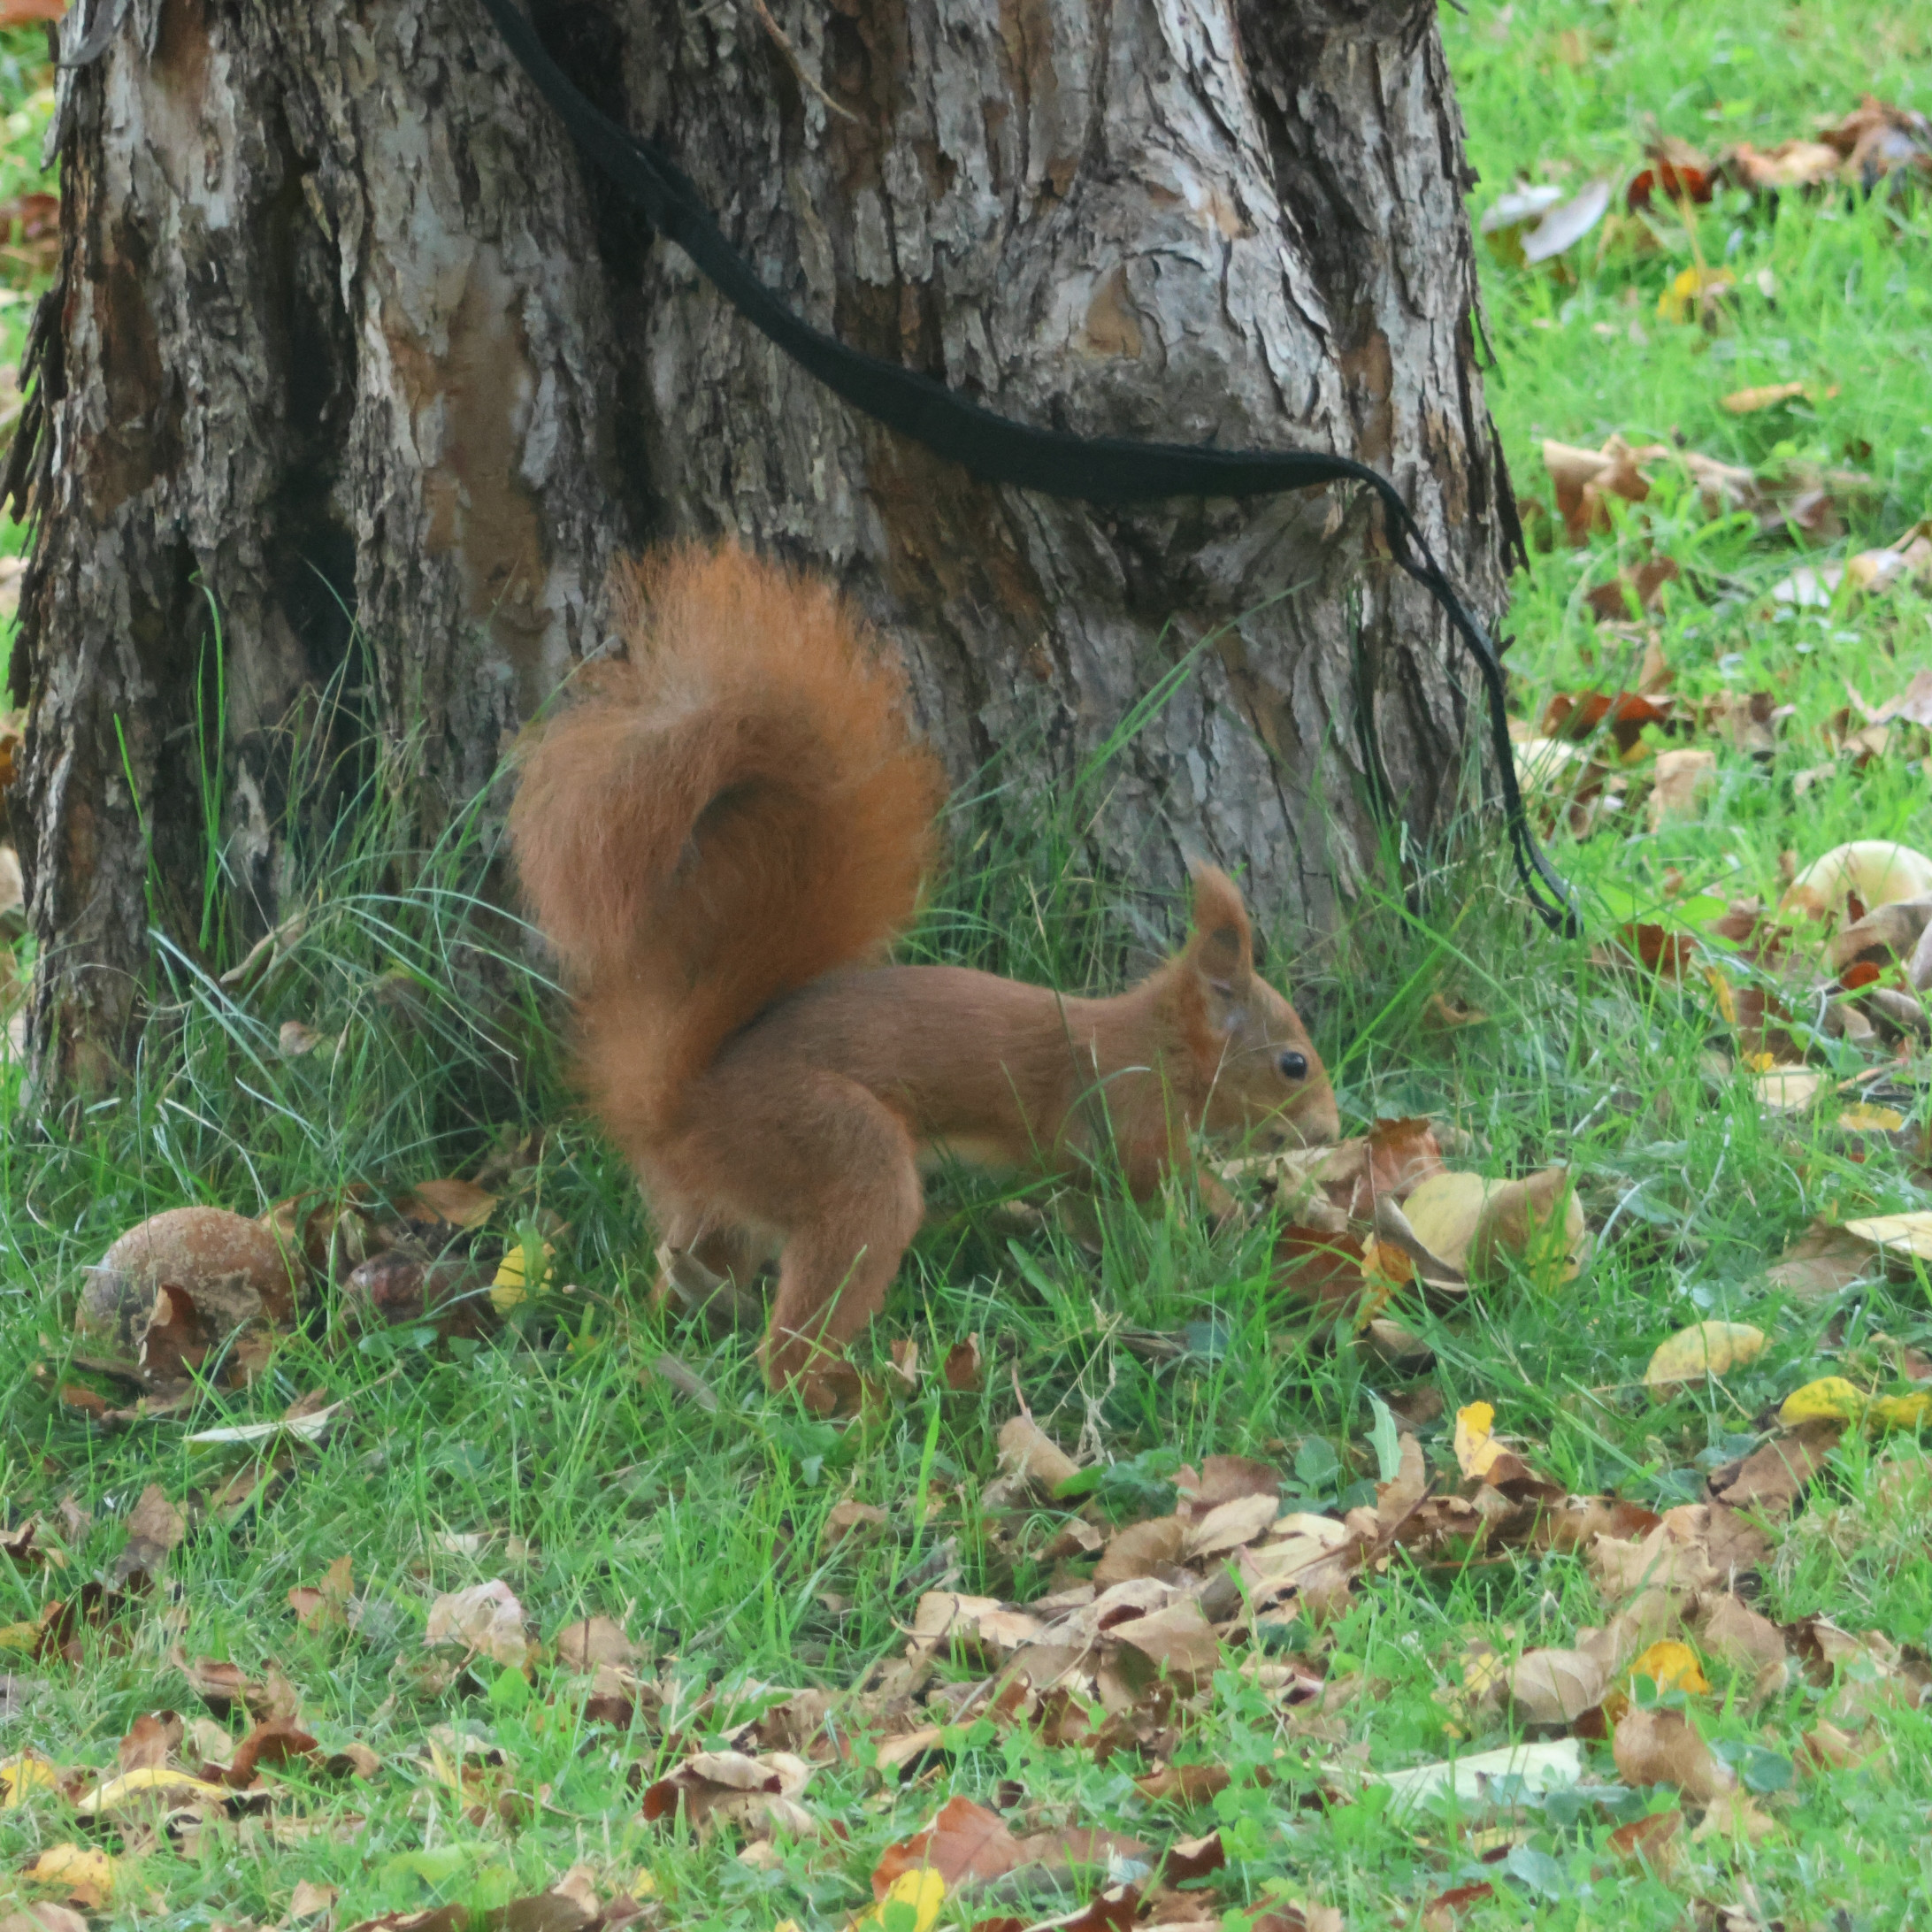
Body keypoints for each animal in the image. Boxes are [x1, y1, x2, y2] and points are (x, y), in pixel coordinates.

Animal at [509, 542, 1341, 1407]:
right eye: (1293, 1063)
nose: (1331, 1131)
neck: (1160, 1042)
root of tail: (679, 1106)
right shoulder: (1123, 1108)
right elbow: (1156, 1174)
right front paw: (1236, 1215)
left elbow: (1094, 1207)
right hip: (837, 1152)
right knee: (793, 1339)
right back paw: (845, 1400)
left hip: (721, 1207)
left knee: (688, 1271)